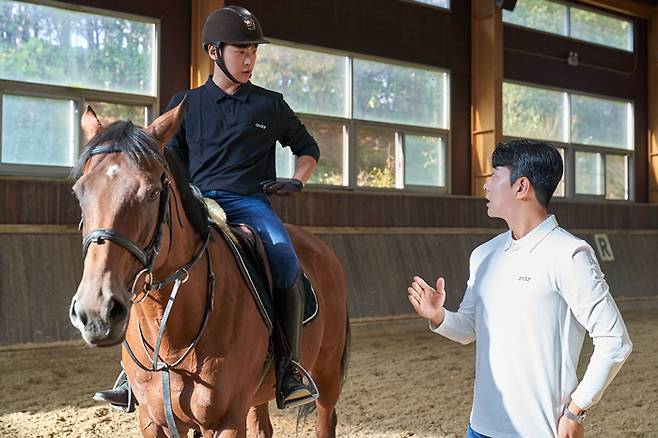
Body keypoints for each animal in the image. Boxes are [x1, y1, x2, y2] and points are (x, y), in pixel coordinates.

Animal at [68, 102, 348, 438]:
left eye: (152, 192)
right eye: (79, 193)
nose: (96, 312)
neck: (172, 331)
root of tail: (322, 249)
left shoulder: (226, 421)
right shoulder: (152, 420)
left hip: (326, 372)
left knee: (325, 419)